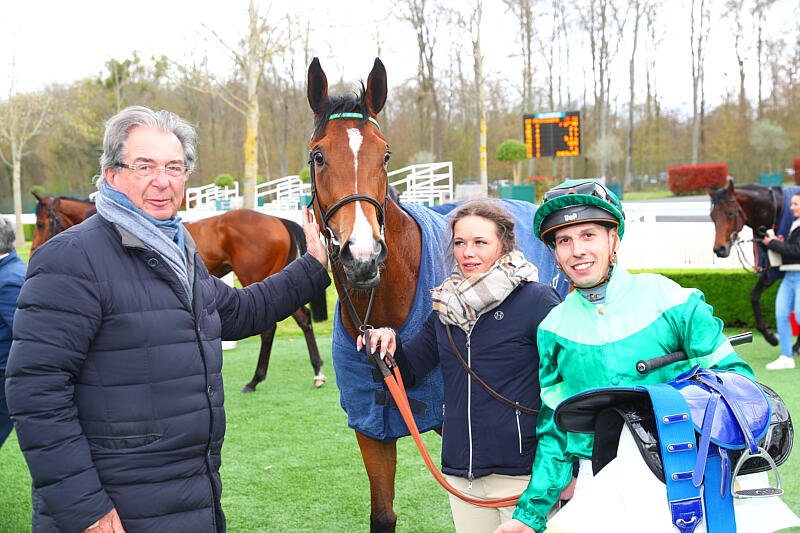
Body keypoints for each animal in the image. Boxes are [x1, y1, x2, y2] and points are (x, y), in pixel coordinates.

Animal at [30, 192, 328, 390]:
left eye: (42, 223)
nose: (33, 252)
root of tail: (277, 220)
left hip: (256, 275)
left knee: (283, 324)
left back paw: (266, 378)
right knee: (296, 319)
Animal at [707, 178, 800, 352]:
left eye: (730, 213)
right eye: (712, 216)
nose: (719, 249)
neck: (776, 211)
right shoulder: (771, 270)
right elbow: (754, 296)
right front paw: (771, 337)